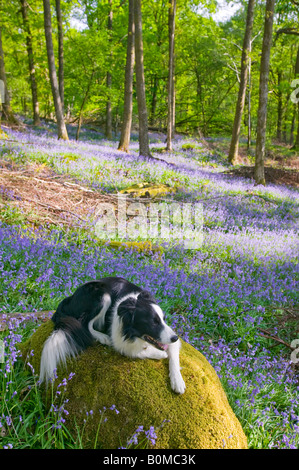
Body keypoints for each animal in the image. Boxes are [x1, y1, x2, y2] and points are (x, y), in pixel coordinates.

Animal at [39, 278, 186, 394]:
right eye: (153, 323)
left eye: (163, 319)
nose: (175, 338)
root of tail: (70, 298)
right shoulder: (120, 340)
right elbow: (134, 351)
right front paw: (160, 354)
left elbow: (174, 357)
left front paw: (177, 381)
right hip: (102, 295)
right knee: (85, 324)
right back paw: (102, 337)